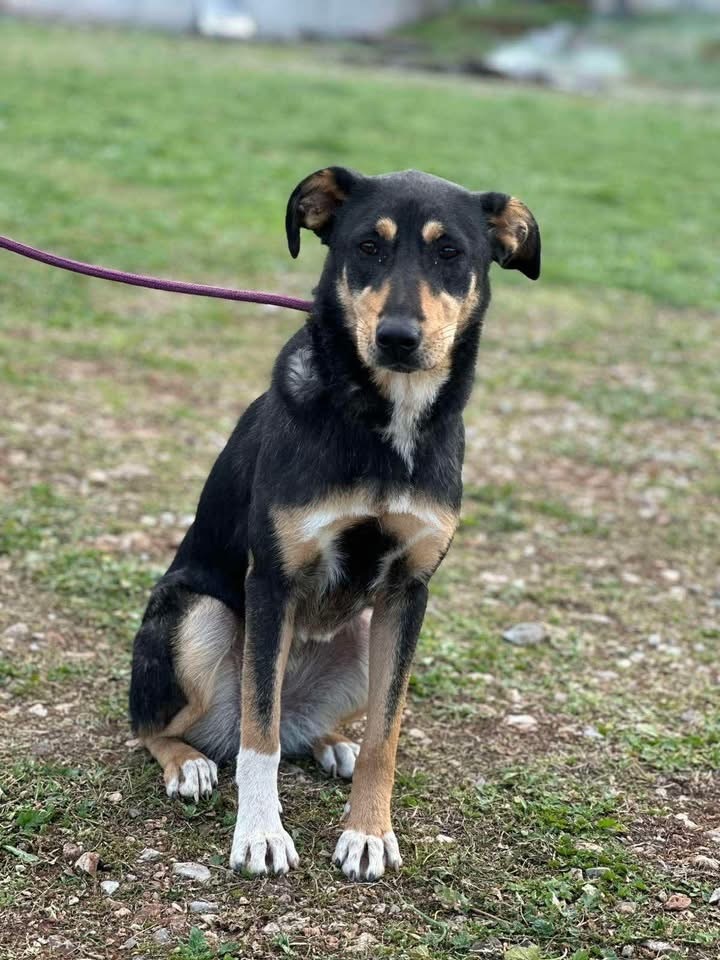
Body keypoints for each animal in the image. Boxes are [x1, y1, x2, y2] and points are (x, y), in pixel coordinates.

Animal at [129, 167, 540, 881]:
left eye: (451, 253)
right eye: (367, 247)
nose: (397, 338)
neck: (384, 422)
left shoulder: (408, 594)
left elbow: (386, 734)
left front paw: (368, 832)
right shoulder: (271, 582)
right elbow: (259, 736)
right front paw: (260, 835)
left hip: (364, 635)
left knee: (303, 724)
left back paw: (329, 741)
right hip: (198, 617)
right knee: (172, 725)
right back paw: (188, 763)